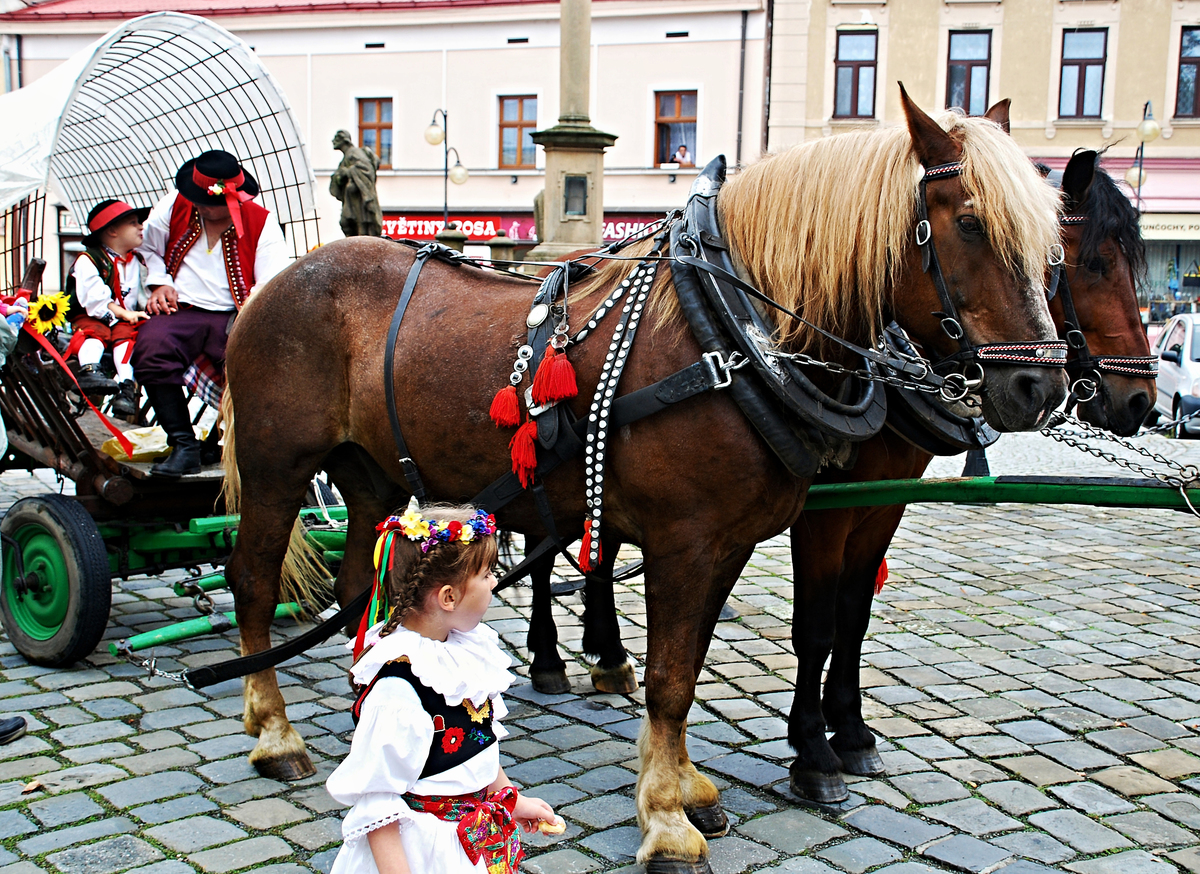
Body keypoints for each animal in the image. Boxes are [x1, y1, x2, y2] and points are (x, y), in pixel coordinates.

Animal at [220, 88, 1065, 874]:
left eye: (1051, 246)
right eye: (970, 224)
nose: (1041, 387)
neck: (729, 333)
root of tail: (278, 280)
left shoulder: (730, 543)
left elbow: (691, 663)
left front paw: (689, 786)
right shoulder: (684, 542)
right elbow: (669, 679)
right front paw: (666, 820)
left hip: (368, 477)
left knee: (357, 588)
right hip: (275, 467)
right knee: (254, 583)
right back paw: (275, 731)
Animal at [787, 145, 1152, 806]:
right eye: (1093, 264)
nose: (1142, 400)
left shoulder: (883, 504)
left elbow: (854, 615)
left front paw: (849, 729)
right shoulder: (825, 508)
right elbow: (818, 625)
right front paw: (812, 750)